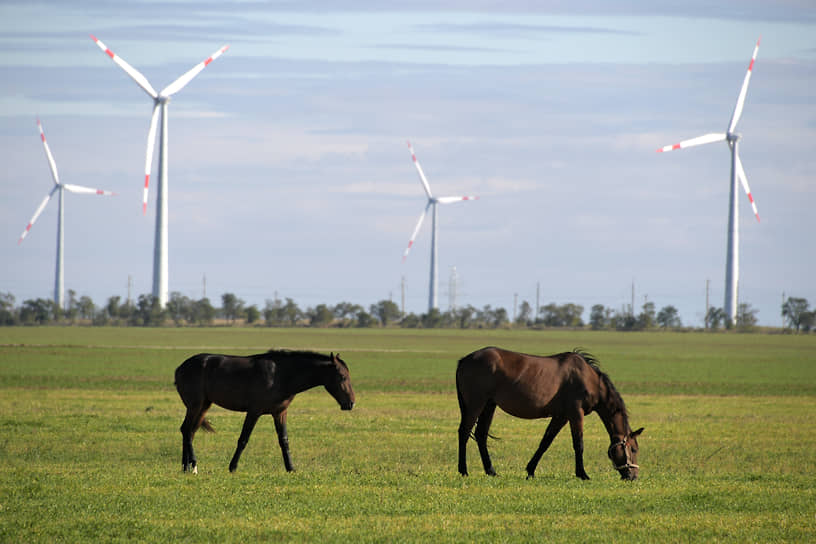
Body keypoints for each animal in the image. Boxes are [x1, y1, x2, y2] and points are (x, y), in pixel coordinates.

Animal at [175, 350, 354, 474]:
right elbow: (243, 439)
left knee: (189, 431)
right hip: (195, 405)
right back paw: (193, 465)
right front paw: (233, 467)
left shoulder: (280, 413)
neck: (281, 375)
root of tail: (180, 368)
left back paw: (186, 467)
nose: (351, 403)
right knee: (187, 430)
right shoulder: (254, 412)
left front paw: (291, 468)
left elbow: (284, 440)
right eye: (342, 376)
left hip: (204, 405)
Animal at [456, 348, 640, 480]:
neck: (590, 379)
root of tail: (464, 360)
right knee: (464, 432)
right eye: (634, 449)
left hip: (489, 405)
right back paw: (463, 471)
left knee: (481, 435)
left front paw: (530, 470)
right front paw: (582, 474)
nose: (633, 477)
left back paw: (491, 471)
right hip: (476, 405)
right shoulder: (575, 413)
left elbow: (545, 442)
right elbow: (578, 444)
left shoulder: (561, 416)